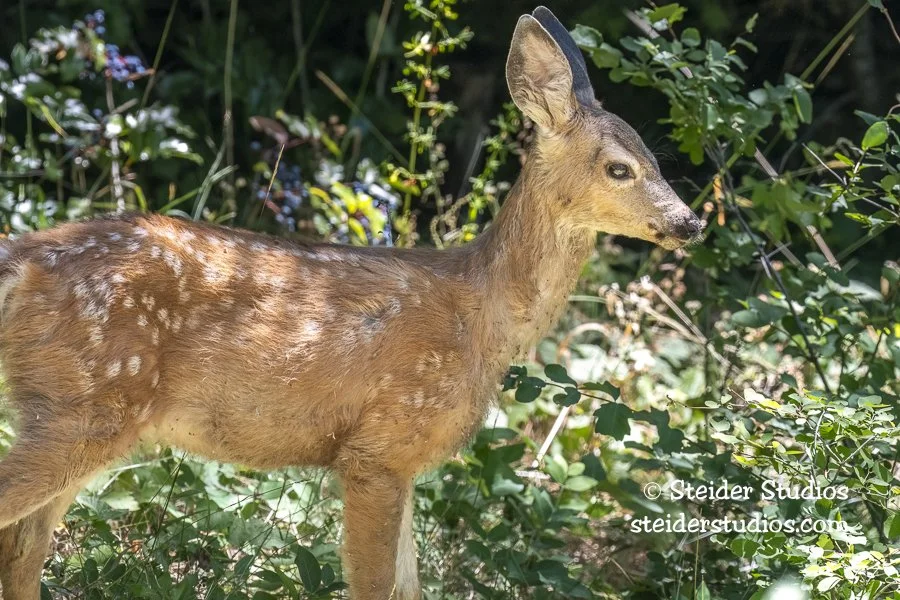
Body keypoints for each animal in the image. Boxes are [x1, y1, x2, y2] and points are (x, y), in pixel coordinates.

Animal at [0, 6, 702, 600]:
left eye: (656, 158)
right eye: (619, 168)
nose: (689, 223)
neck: (484, 318)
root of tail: (21, 261)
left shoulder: (402, 461)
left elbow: (410, 587)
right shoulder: (379, 446)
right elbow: (376, 586)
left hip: (73, 412)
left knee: (24, 546)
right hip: (86, 403)